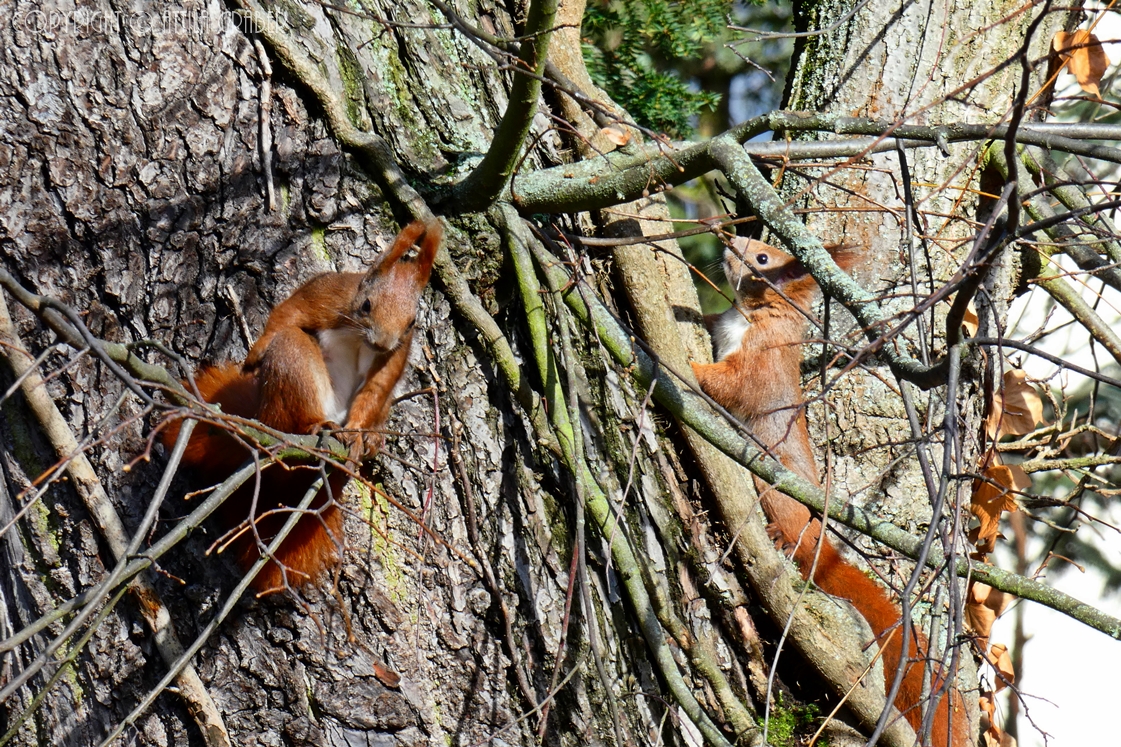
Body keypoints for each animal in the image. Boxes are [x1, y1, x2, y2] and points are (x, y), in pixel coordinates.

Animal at [163, 218, 441, 592]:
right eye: (367, 305)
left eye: (412, 322)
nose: (383, 342)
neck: (359, 337)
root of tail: (266, 418)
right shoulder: (329, 296)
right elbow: (289, 312)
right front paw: (254, 354)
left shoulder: (394, 359)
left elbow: (373, 393)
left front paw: (357, 435)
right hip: (292, 369)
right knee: (292, 354)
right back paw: (315, 424)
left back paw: (367, 439)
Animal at [686, 235, 968, 740]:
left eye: (763, 257)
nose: (729, 240)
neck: (752, 313)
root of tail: (818, 537)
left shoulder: (763, 359)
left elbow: (734, 384)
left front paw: (689, 365)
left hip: (775, 490)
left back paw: (782, 538)